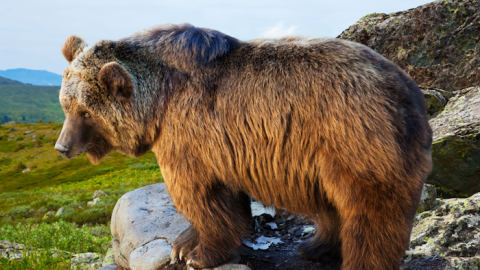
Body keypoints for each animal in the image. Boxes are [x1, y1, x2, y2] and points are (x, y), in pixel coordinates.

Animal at [55, 23, 432, 270]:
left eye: (86, 112)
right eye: (66, 105)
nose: (62, 147)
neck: (158, 100)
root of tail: (410, 91)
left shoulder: (189, 136)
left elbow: (201, 196)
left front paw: (198, 254)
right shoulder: (219, 146)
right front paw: (183, 245)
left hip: (354, 139)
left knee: (369, 212)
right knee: (333, 205)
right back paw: (315, 247)